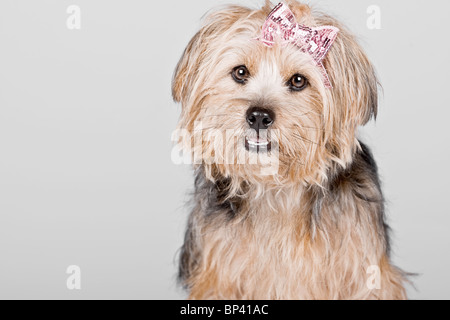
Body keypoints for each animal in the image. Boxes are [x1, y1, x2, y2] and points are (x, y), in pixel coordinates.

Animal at [171, 0, 406, 300]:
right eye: (240, 72)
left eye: (298, 81)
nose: (259, 116)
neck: (276, 186)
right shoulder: (218, 279)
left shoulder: (366, 276)